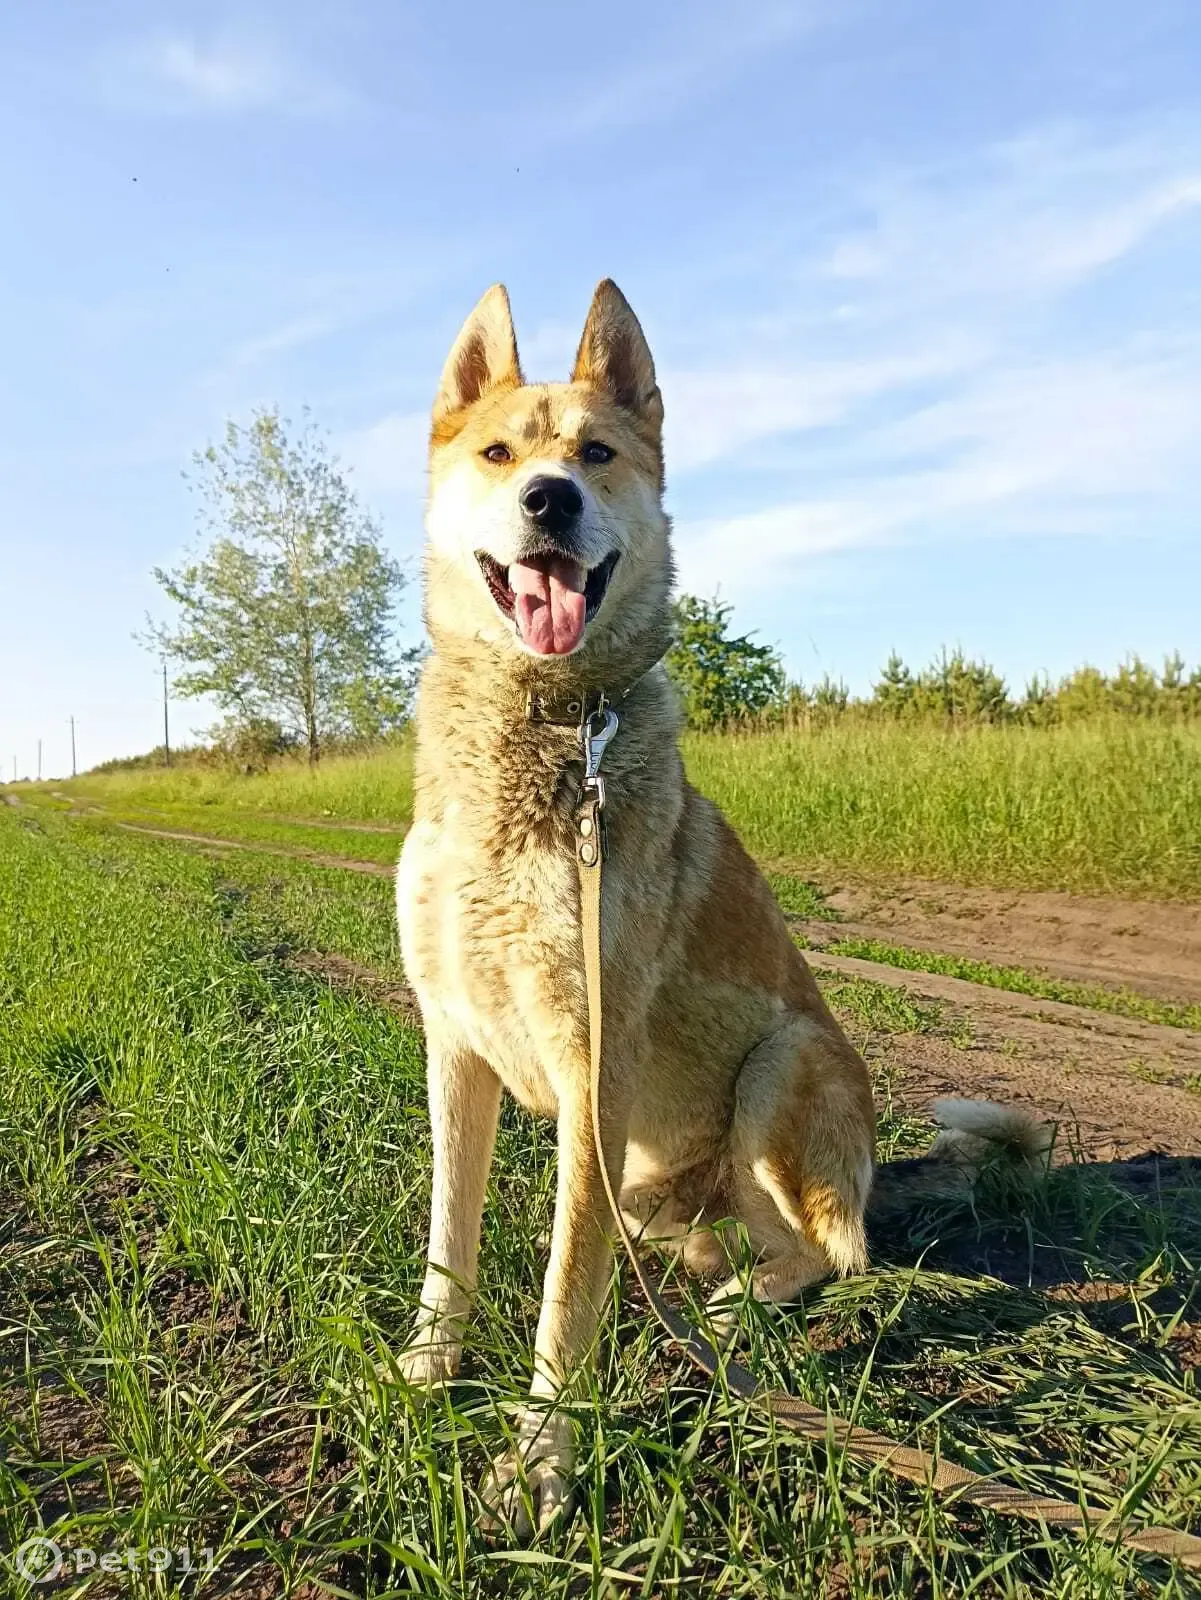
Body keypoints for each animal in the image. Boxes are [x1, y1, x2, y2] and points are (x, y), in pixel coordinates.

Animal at [395, 284, 1042, 1536]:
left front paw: (540, 1455)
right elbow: (450, 1235)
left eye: (595, 454)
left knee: (835, 1254)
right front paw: (428, 1363)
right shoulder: (455, 1048)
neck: (552, 734)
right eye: (499, 454)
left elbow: (565, 1291)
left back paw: (740, 1302)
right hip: (670, 1167)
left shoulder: (591, 1068)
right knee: (712, 1234)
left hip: (785, 1064)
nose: (549, 497)